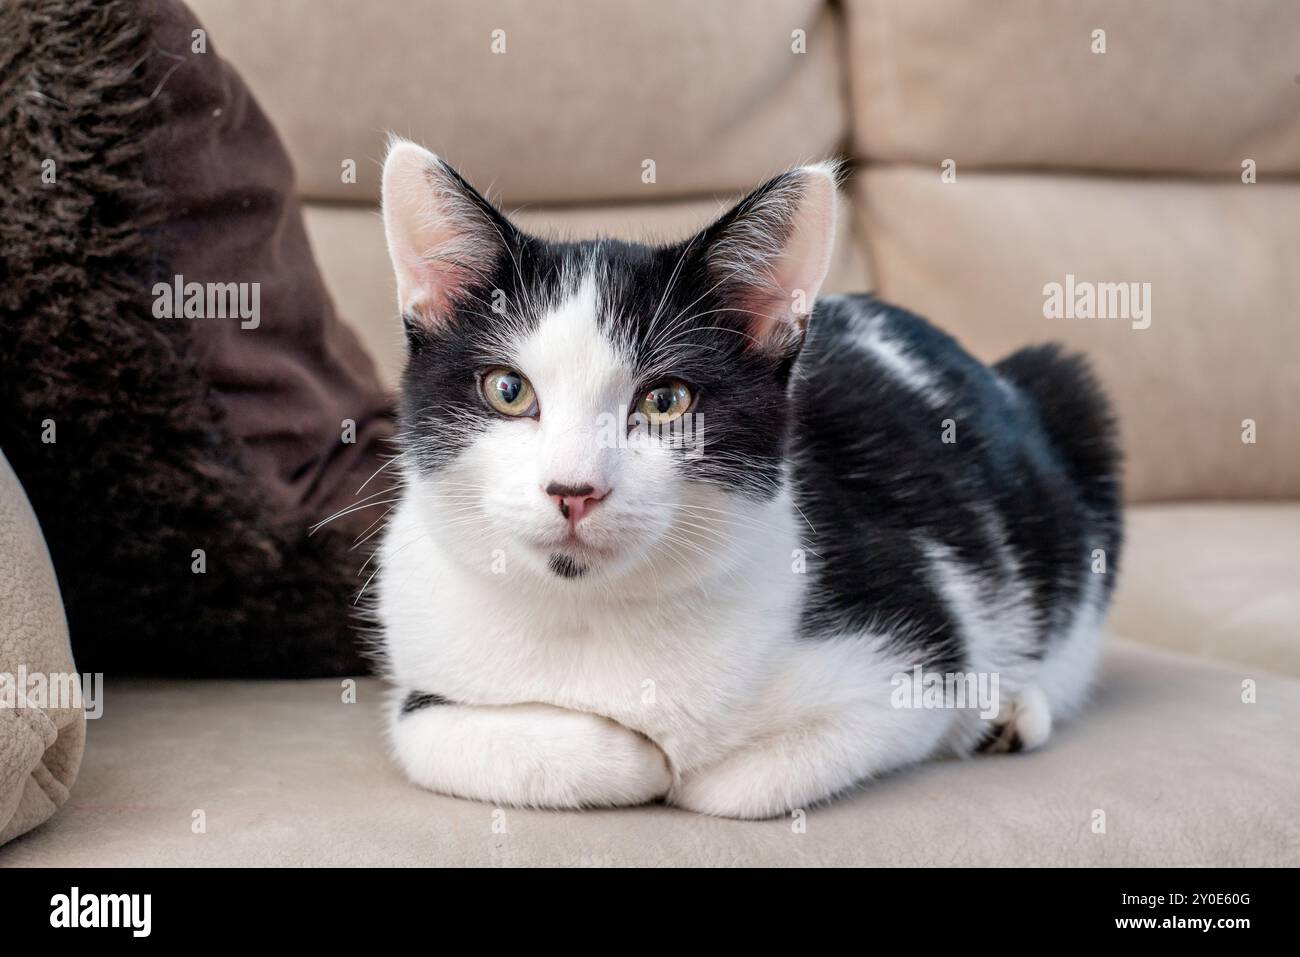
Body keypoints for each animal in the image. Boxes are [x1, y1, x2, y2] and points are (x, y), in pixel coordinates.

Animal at [374, 138, 1118, 816]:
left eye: (665, 401)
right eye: (508, 389)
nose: (574, 489)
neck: (587, 612)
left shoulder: (918, 646)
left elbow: (730, 785)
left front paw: (672, 761)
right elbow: (424, 731)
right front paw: (630, 753)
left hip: (1069, 394)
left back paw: (1010, 711)